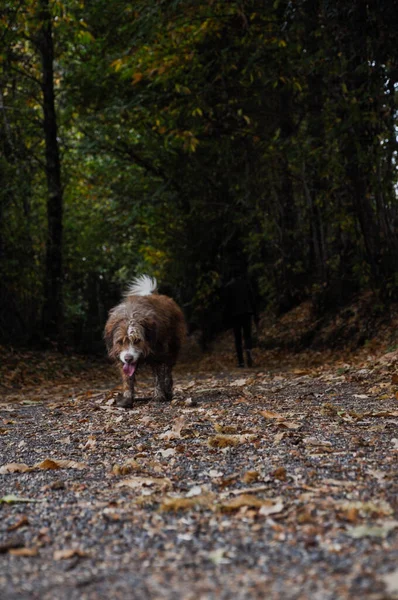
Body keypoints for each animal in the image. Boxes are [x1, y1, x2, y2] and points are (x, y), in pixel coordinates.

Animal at [105, 276, 187, 408]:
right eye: (120, 341)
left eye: (137, 340)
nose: (128, 358)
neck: (131, 315)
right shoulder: (122, 359)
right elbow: (128, 378)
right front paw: (127, 399)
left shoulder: (157, 353)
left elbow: (158, 376)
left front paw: (159, 396)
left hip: (173, 347)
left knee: (167, 370)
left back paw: (167, 390)